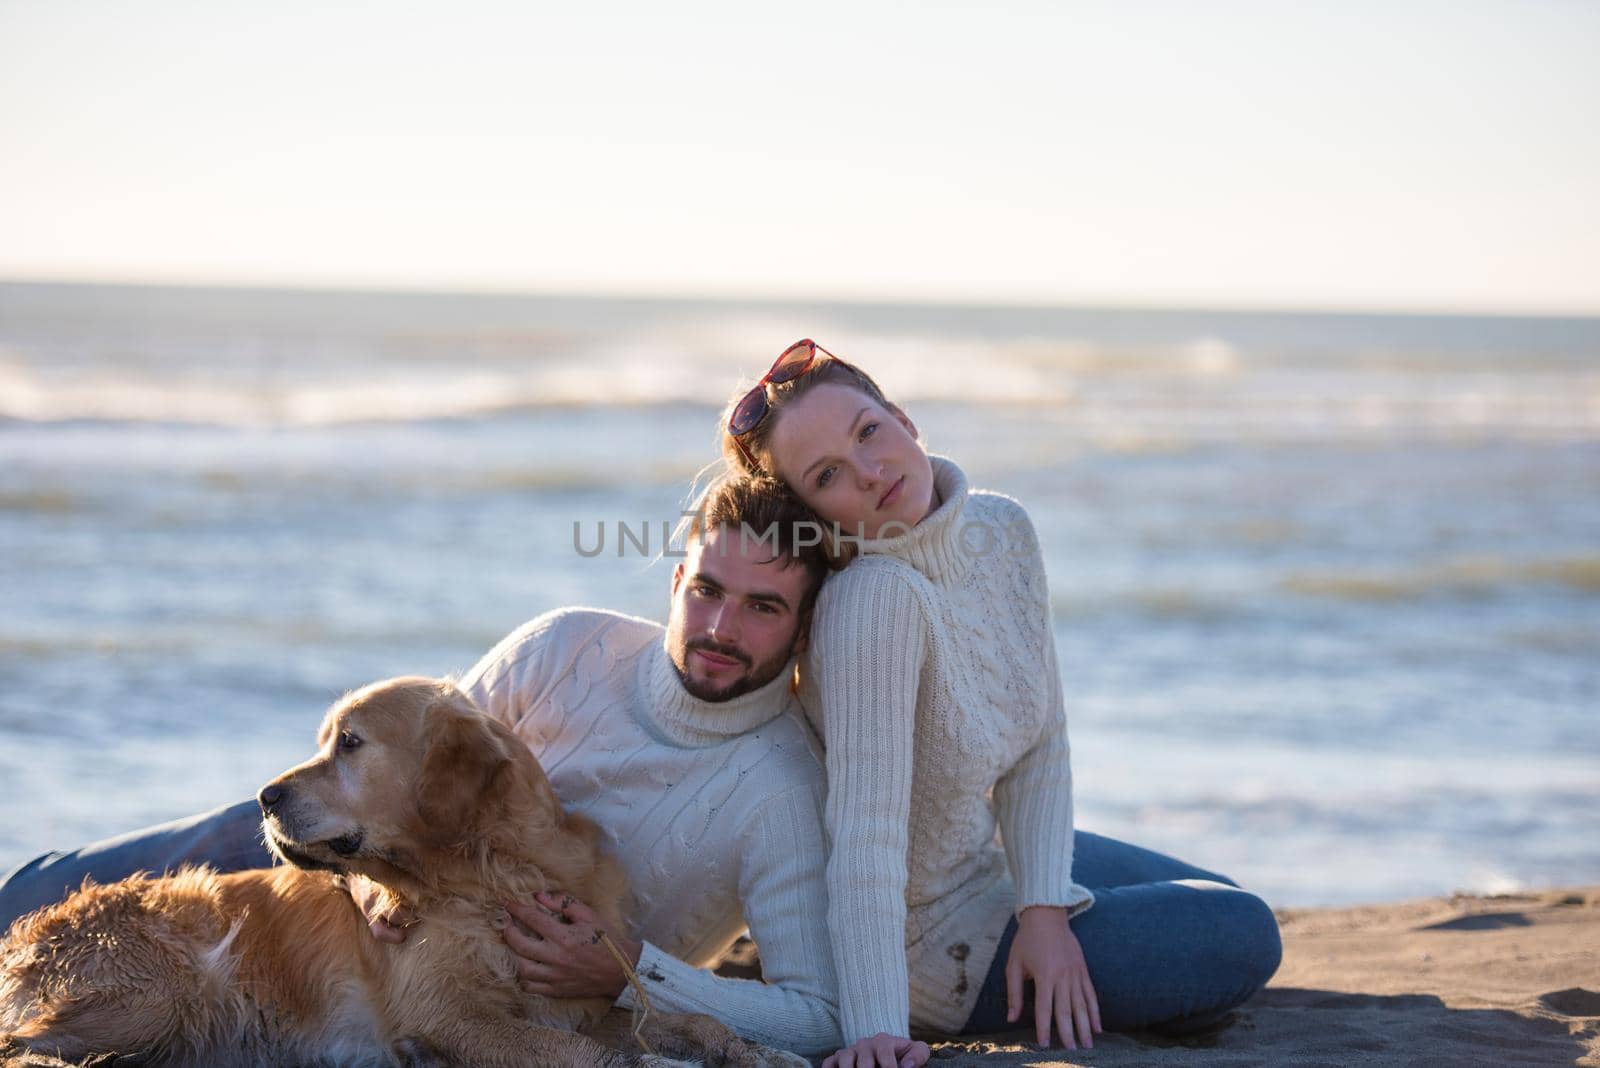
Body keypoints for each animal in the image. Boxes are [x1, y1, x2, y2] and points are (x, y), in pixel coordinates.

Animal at [0, 681, 800, 1061]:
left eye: (349, 744)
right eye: (326, 740)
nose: (264, 796)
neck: (489, 877)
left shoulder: (572, 995)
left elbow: (690, 1020)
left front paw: (746, 1048)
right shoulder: (447, 1010)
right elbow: (575, 1052)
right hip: (164, 989)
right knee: (22, 1045)